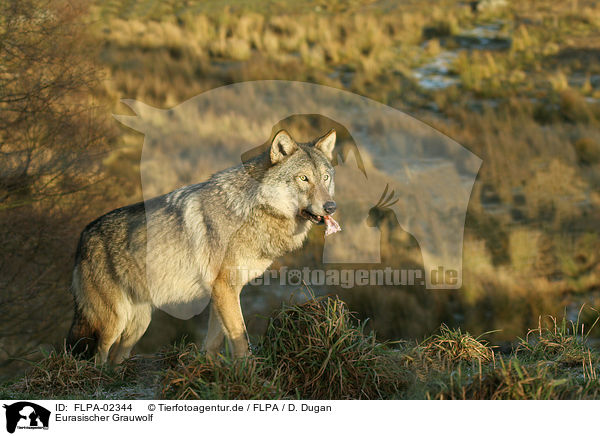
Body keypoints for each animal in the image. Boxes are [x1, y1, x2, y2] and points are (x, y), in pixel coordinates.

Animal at [67, 129, 338, 364]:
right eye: (303, 178)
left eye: (325, 178)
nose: (331, 206)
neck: (250, 211)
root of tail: (83, 237)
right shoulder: (225, 288)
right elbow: (240, 339)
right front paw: (248, 371)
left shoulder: (224, 292)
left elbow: (214, 341)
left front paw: (209, 370)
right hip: (113, 321)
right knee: (98, 356)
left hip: (138, 325)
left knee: (115, 358)